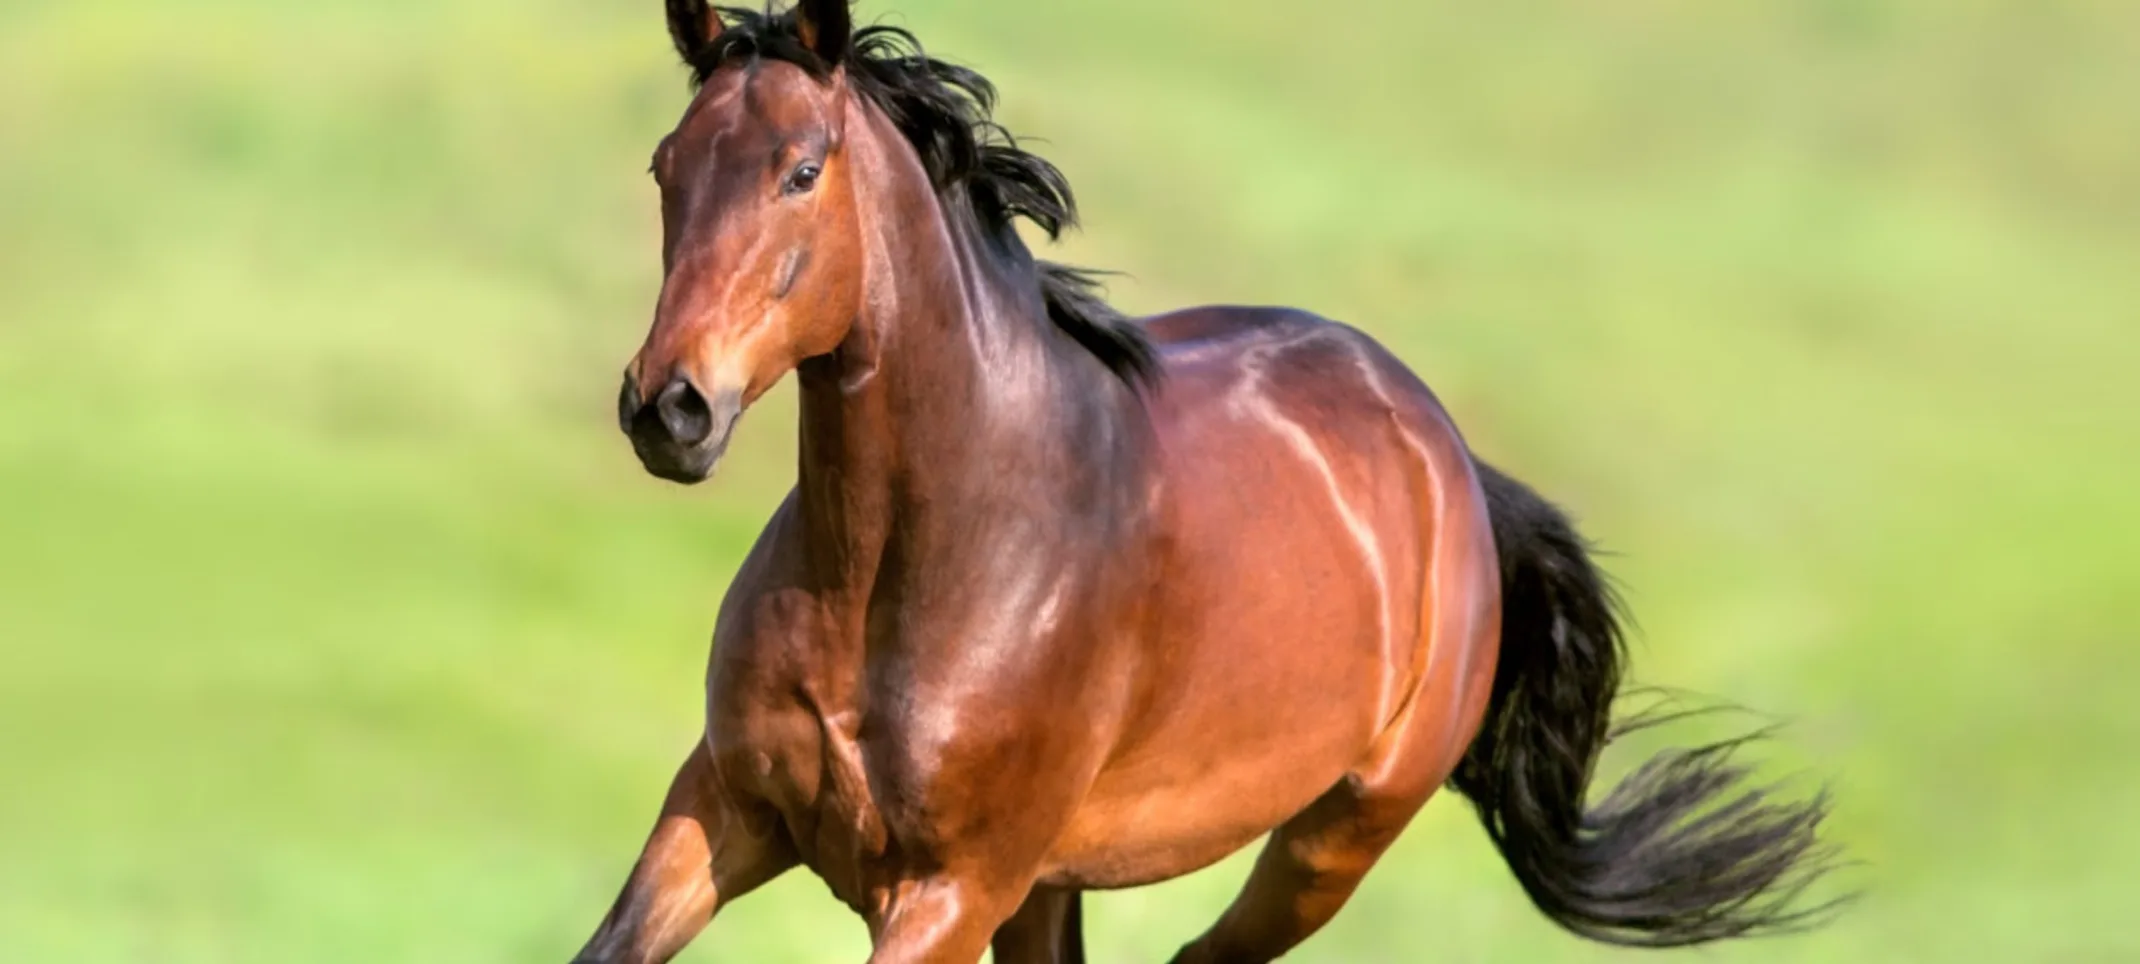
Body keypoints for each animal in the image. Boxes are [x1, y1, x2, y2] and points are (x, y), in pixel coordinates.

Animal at [577, 2, 1842, 961]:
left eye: (801, 171)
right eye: (665, 165)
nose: (669, 408)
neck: (914, 564)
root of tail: (1445, 457)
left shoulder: (947, 890)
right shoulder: (724, 806)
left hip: (1330, 842)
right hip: (1057, 881)